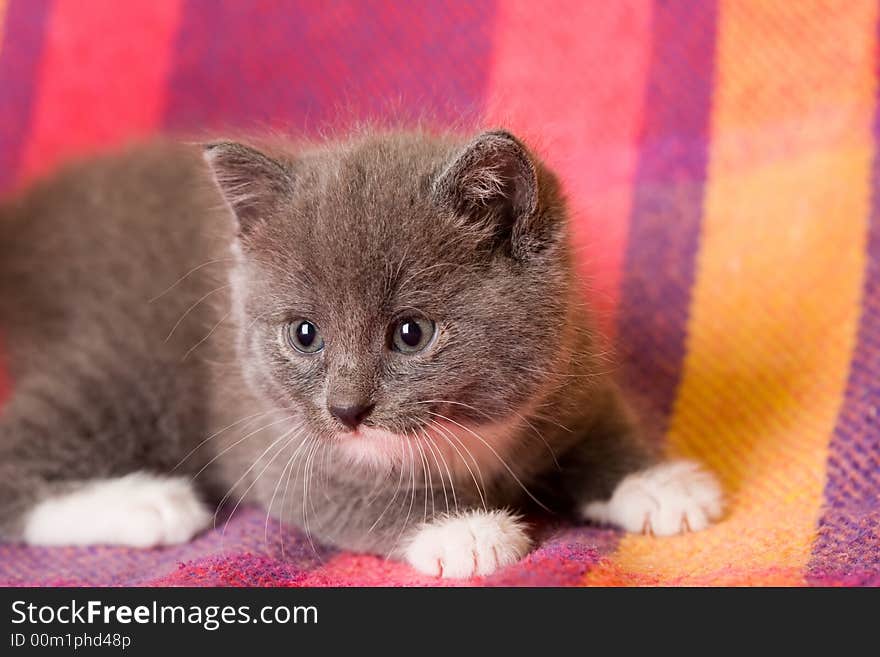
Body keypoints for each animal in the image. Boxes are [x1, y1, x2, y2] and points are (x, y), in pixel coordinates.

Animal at [0, 129, 720, 580]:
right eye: (304, 334)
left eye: (410, 333)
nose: (347, 410)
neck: (466, 432)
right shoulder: (275, 439)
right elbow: (352, 496)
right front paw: (461, 529)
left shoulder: (570, 363)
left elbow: (600, 429)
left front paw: (656, 484)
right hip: (128, 364)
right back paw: (148, 503)